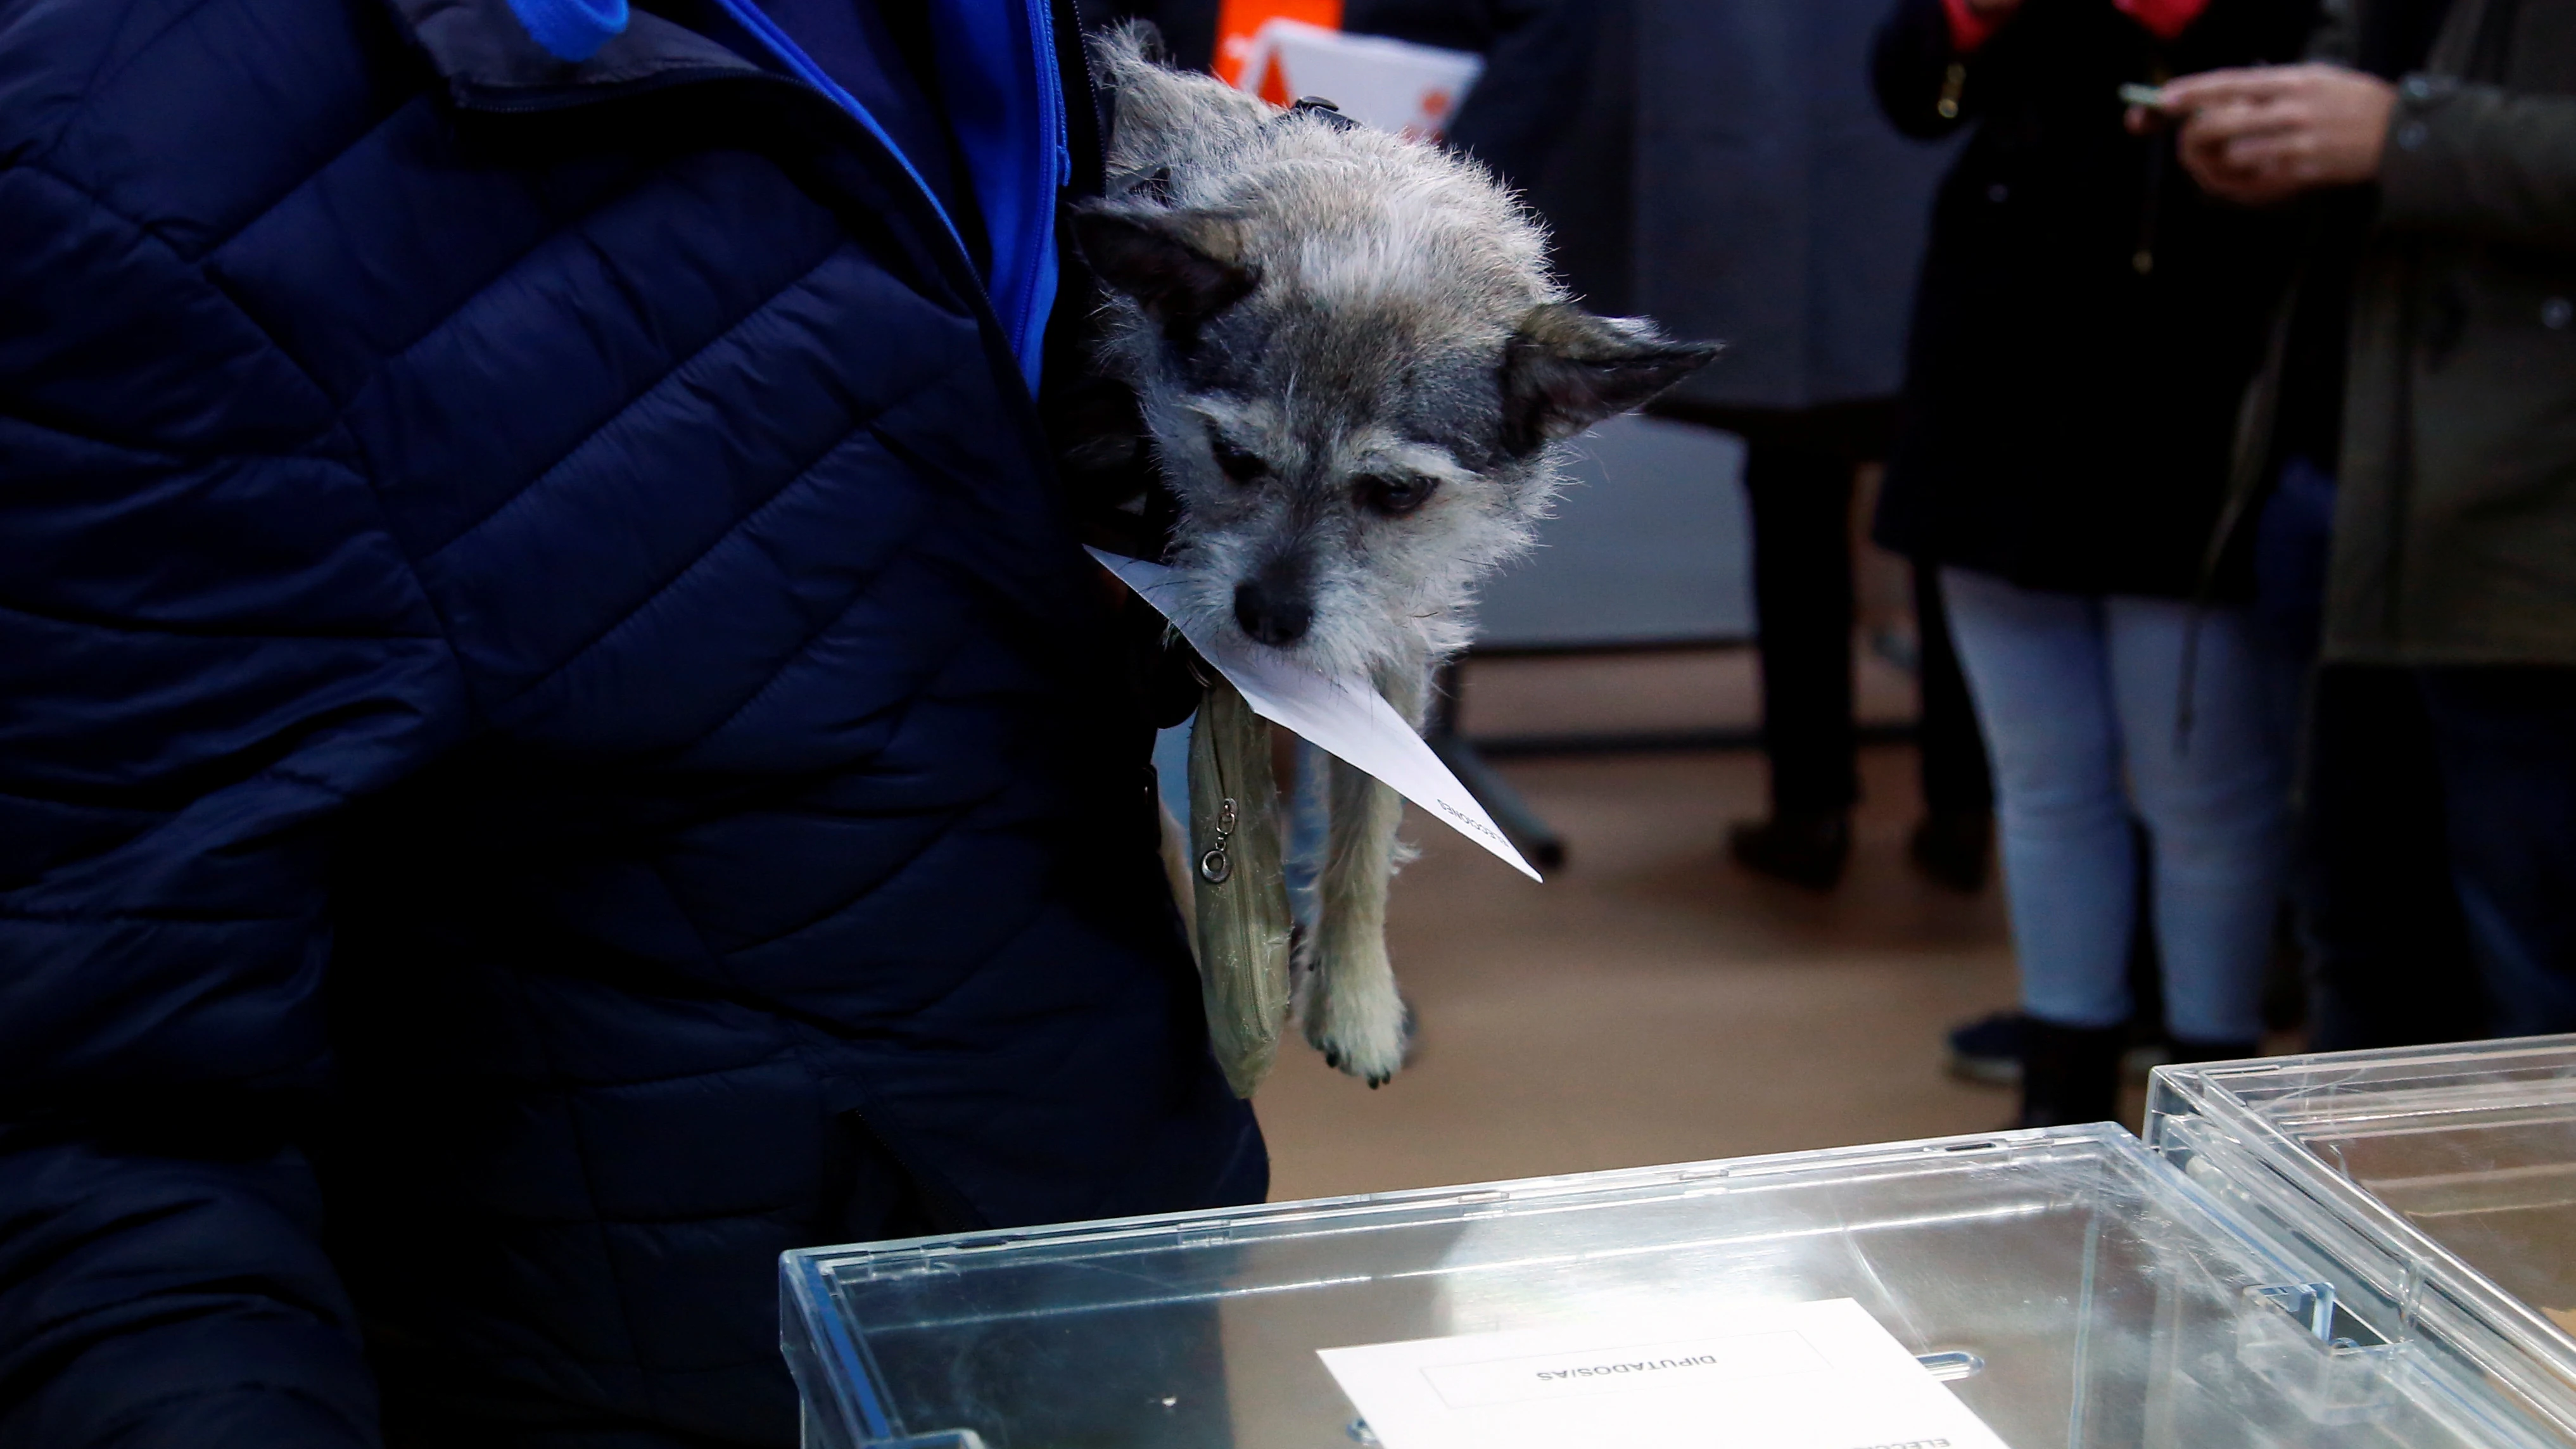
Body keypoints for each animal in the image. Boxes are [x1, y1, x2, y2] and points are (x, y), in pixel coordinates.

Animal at [1077, 28, 1720, 1080]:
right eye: (1234, 458)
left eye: (1396, 494)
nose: (1267, 617)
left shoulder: (1389, 647)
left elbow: (1367, 827)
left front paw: (1354, 991)